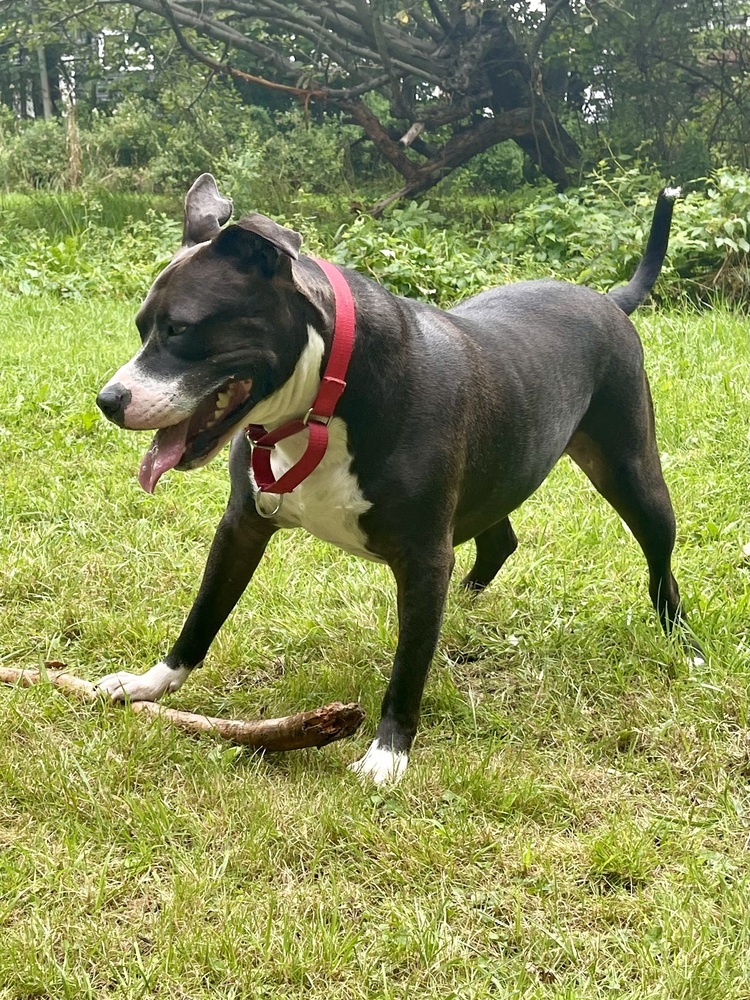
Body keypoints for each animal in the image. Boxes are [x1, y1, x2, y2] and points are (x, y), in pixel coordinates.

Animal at [97, 178, 704, 788]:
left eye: (180, 329)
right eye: (142, 327)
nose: (109, 400)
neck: (321, 399)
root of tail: (608, 298)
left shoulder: (424, 555)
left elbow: (409, 665)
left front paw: (387, 753)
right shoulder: (243, 527)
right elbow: (203, 614)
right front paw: (152, 682)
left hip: (633, 474)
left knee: (660, 566)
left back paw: (686, 645)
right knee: (499, 538)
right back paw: (467, 601)